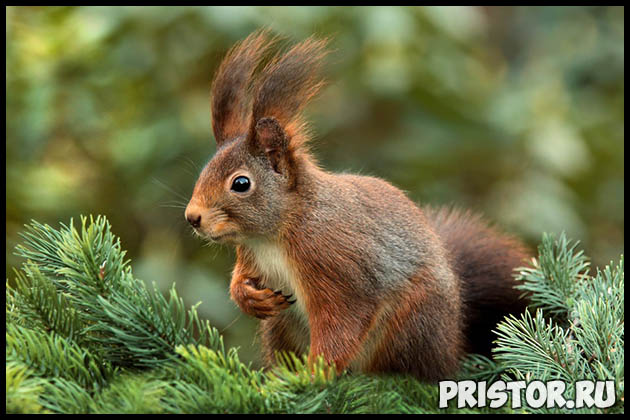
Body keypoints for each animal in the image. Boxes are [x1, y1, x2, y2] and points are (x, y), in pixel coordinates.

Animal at [185, 31, 532, 382]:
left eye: (241, 183)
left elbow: (342, 323)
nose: (192, 217)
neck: (275, 234)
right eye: (204, 170)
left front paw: (313, 375)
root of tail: (451, 346)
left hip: (409, 324)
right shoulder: (250, 255)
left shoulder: (336, 265)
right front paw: (249, 297)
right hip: (281, 327)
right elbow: (240, 279)